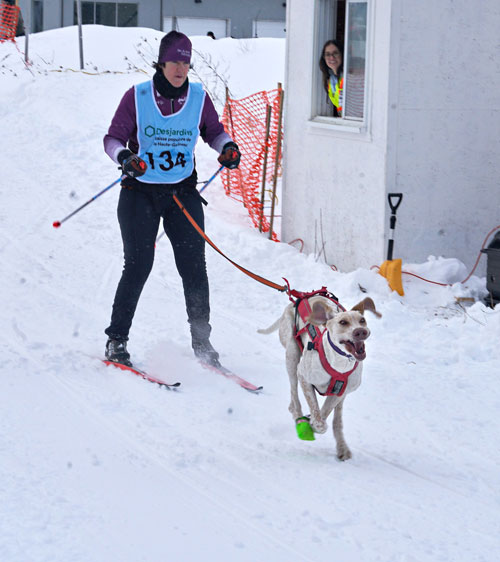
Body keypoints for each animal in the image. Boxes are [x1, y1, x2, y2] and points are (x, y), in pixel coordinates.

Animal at [258, 295, 380, 460]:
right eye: (343, 322)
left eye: (362, 320)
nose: (361, 331)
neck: (340, 363)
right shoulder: (303, 376)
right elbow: (316, 412)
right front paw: (312, 425)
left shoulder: (339, 393)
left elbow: (324, 413)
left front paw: (314, 424)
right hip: (292, 355)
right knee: (293, 396)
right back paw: (298, 416)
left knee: (337, 420)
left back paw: (341, 446)